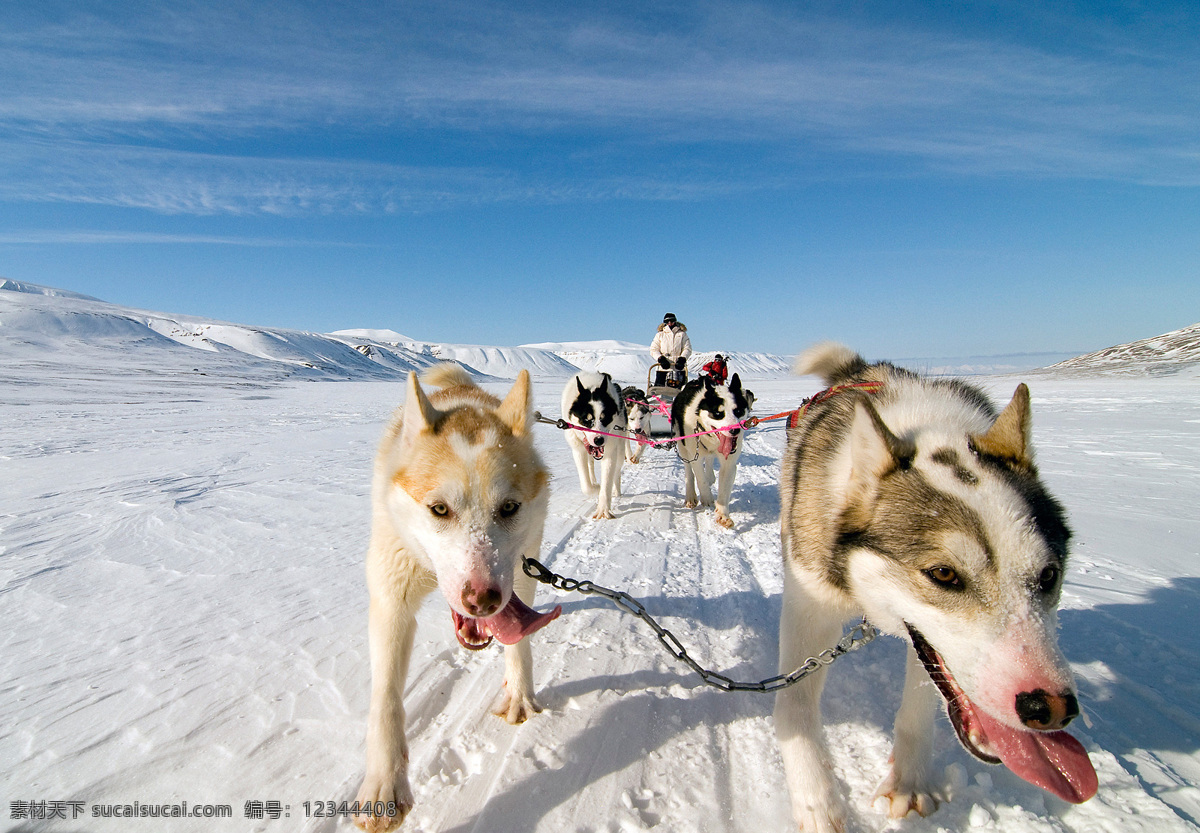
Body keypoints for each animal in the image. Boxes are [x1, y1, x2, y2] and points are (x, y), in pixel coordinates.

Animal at [350, 367, 561, 833]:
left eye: (509, 507)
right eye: (440, 509)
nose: (482, 599)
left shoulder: (520, 576)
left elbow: (519, 644)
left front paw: (519, 693)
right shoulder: (391, 596)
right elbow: (385, 698)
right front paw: (384, 782)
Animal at [564, 369, 633, 518]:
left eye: (605, 418)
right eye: (586, 420)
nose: (599, 440)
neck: (591, 386)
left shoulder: (610, 451)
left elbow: (607, 480)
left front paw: (603, 509)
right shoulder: (578, 450)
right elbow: (586, 485)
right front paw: (596, 488)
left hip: (620, 449)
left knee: (617, 471)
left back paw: (616, 490)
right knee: (590, 466)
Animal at [672, 374, 753, 528]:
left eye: (738, 411)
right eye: (718, 413)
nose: (735, 430)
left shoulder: (729, 463)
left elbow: (724, 489)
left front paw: (723, 514)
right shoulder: (695, 456)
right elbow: (700, 478)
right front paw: (707, 498)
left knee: (709, 461)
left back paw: (710, 476)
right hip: (682, 446)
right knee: (689, 472)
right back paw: (691, 495)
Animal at [777, 343, 1099, 830]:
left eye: (1049, 576)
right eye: (944, 574)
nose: (1051, 709)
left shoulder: (927, 643)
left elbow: (921, 706)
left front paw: (909, 783)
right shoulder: (810, 609)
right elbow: (795, 709)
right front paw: (818, 804)